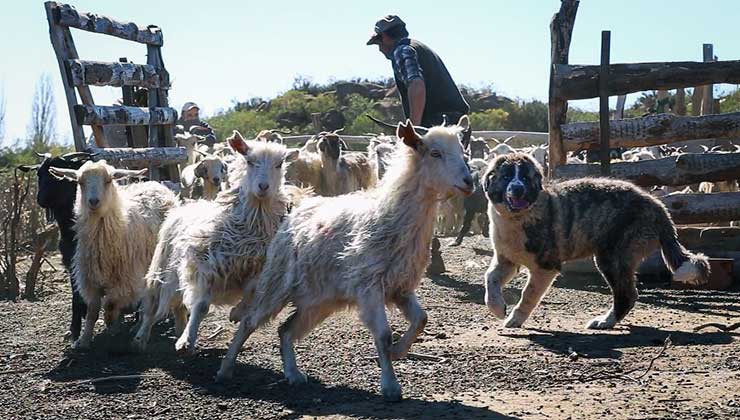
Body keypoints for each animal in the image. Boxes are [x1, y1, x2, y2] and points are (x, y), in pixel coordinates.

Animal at [19, 153, 92, 340]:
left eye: (60, 174)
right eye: (39, 173)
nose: (41, 199)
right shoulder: (70, 263)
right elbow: (76, 294)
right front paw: (74, 329)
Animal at [50, 161, 178, 348]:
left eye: (108, 180)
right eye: (80, 182)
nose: (93, 201)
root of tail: (155, 184)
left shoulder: (126, 280)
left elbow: (110, 304)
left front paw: (111, 322)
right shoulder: (90, 279)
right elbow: (92, 310)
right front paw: (84, 340)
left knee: (148, 302)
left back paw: (140, 331)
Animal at [134, 132, 296, 354]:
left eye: (279, 164)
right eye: (249, 161)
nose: (263, 187)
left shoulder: (259, 268)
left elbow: (252, 291)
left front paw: (237, 312)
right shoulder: (205, 266)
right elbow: (201, 306)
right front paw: (187, 341)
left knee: (178, 306)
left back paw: (179, 329)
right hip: (162, 268)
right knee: (152, 306)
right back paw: (142, 338)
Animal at [217, 116, 476, 402]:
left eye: (463, 152)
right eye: (435, 153)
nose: (469, 182)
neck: (388, 216)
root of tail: (295, 211)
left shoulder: (401, 287)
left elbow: (422, 320)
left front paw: (399, 351)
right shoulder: (369, 286)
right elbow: (383, 335)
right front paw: (390, 385)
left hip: (319, 300)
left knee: (285, 330)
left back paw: (293, 374)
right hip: (277, 283)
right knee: (250, 321)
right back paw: (226, 368)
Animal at [482, 153, 708, 330]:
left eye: (525, 177)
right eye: (506, 176)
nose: (518, 189)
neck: (518, 217)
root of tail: (658, 207)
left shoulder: (546, 267)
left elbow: (528, 293)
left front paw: (515, 318)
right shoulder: (506, 260)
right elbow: (490, 278)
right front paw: (497, 307)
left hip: (612, 258)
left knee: (626, 294)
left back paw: (605, 322)